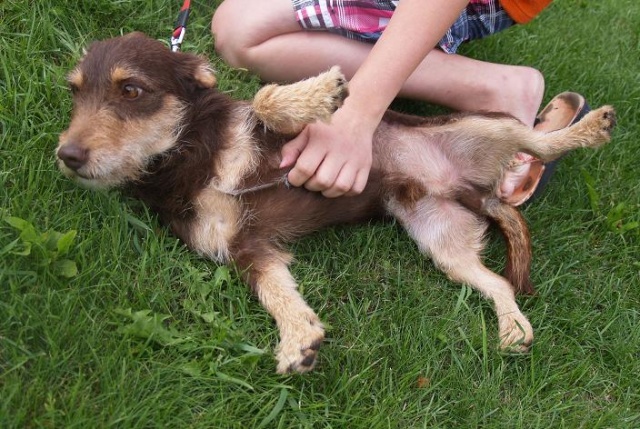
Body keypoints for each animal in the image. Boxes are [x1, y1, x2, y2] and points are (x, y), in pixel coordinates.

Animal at [57, 32, 616, 374]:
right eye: (75, 93)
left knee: (539, 143)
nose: (67, 156)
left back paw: (588, 128)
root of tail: (465, 186)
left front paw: (319, 92)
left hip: (484, 127)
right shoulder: (246, 249)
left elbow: (263, 102)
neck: (185, 156)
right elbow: (277, 293)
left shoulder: (286, 140)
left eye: (132, 89)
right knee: (497, 281)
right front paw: (297, 338)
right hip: (440, 239)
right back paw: (512, 328)